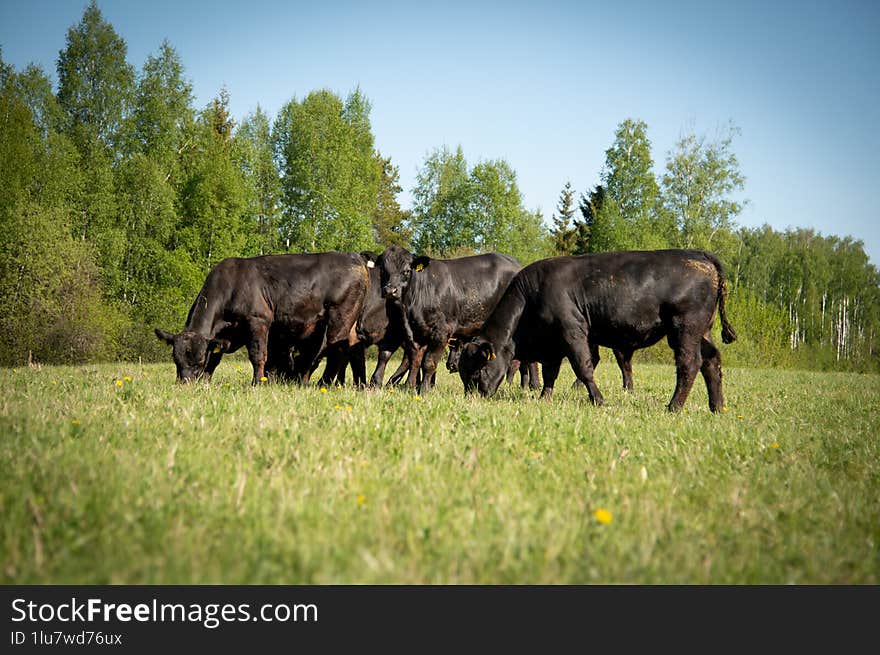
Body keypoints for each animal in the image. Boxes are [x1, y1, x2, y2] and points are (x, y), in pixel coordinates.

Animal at [155, 251, 368, 384]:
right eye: (176, 360)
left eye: (198, 361)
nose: (186, 383)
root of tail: (355, 258)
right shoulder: (219, 337)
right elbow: (214, 358)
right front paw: (206, 382)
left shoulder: (258, 320)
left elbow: (257, 355)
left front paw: (257, 382)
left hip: (339, 319)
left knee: (336, 350)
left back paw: (321, 384)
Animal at [458, 249, 740, 412]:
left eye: (476, 372)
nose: (473, 396)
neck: (531, 295)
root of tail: (700, 255)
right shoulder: (553, 344)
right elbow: (550, 374)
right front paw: (544, 398)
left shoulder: (572, 332)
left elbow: (583, 367)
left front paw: (598, 400)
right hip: (703, 331)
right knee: (712, 361)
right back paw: (717, 407)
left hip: (685, 329)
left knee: (690, 364)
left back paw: (674, 407)